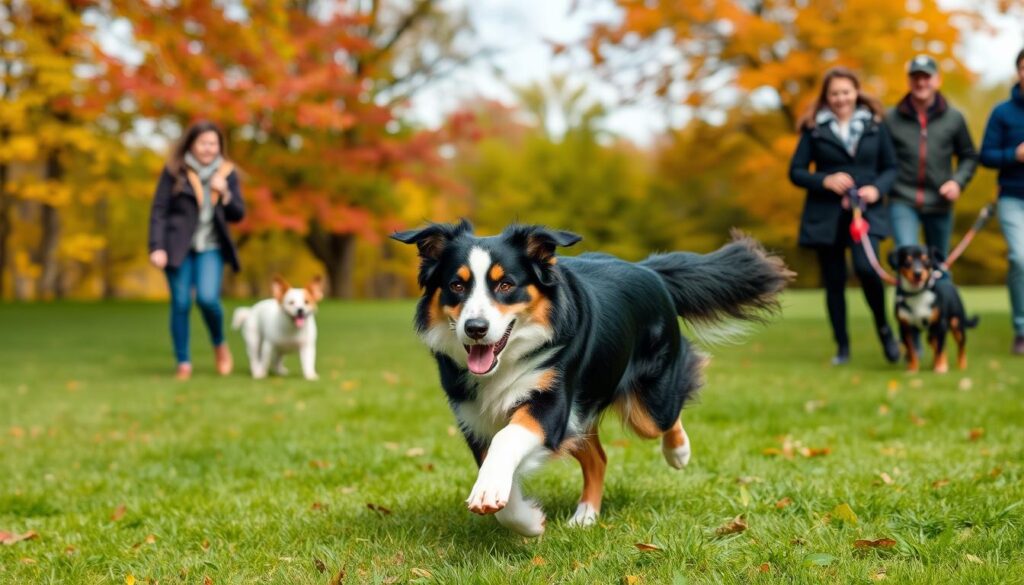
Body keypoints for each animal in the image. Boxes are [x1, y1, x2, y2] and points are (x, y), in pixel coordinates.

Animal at [888, 244, 974, 372]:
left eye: (926, 261)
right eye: (907, 261)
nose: (917, 273)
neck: (917, 295)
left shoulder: (940, 324)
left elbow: (940, 349)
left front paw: (940, 368)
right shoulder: (905, 328)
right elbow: (912, 350)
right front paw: (912, 368)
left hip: (956, 324)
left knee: (961, 346)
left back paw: (961, 366)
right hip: (932, 333)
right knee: (934, 343)